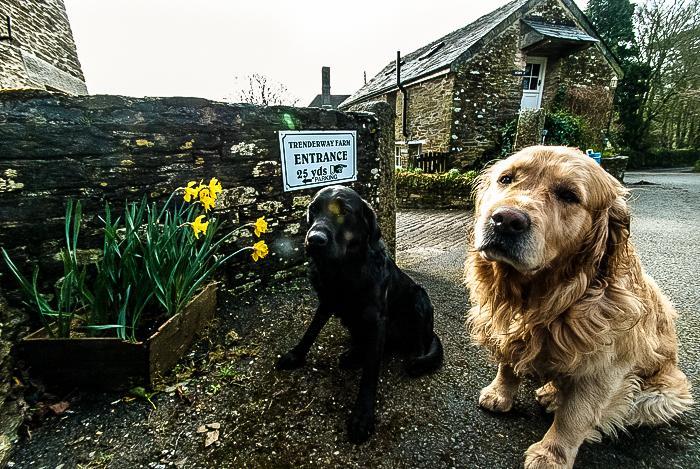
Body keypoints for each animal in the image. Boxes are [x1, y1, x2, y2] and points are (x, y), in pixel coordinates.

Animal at [274, 184, 442, 442]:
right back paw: (353, 354)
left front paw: (362, 416)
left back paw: (414, 359)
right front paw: (295, 355)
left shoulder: (376, 319)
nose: (314, 240)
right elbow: (310, 331)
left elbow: (370, 371)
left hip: (419, 298)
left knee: (410, 345)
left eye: (344, 211)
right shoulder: (327, 301)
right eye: (313, 210)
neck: (344, 269)